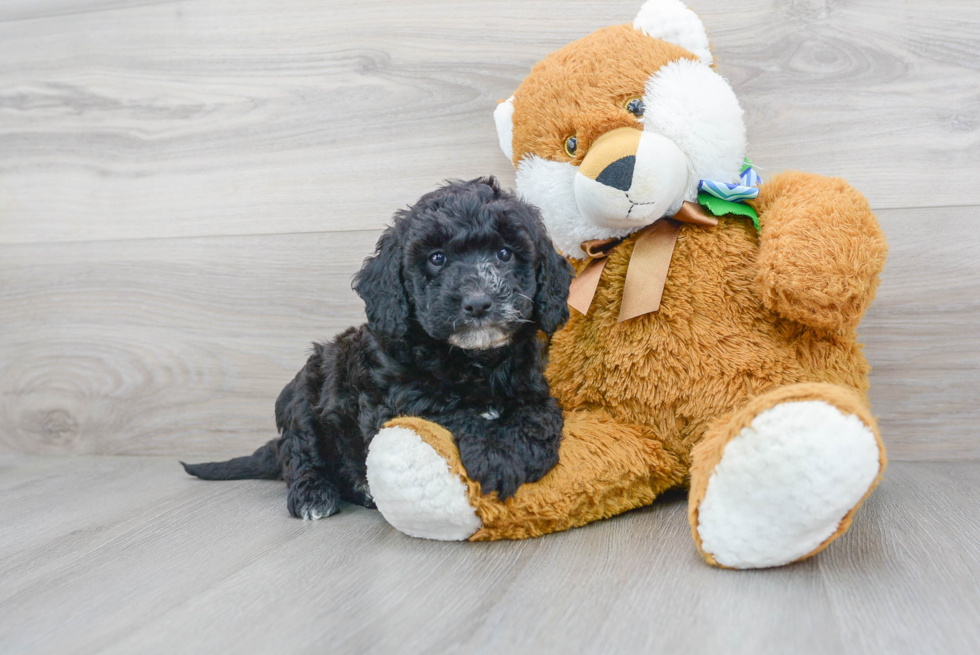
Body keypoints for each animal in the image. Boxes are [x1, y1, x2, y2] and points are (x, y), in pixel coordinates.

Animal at [182, 177, 576, 520]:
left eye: (505, 253)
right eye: (436, 258)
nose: (478, 303)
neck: (473, 361)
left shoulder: (532, 387)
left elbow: (539, 416)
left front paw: (524, 453)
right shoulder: (400, 401)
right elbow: (451, 414)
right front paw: (497, 456)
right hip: (304, 393)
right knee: (300, 454)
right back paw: (315, 494)